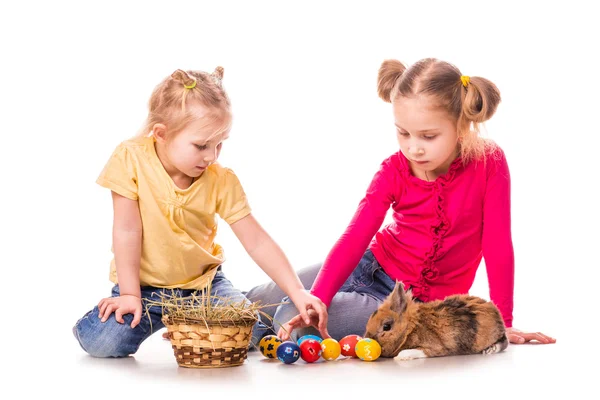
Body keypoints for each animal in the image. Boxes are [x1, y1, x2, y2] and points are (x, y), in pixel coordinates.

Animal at [364, 282, 508, 360]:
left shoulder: (436, 348)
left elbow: (421, 351)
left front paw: (401, 357)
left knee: (504, 342)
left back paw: (490, 350)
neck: (410, 329)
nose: (367, 337)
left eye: (386, 327)